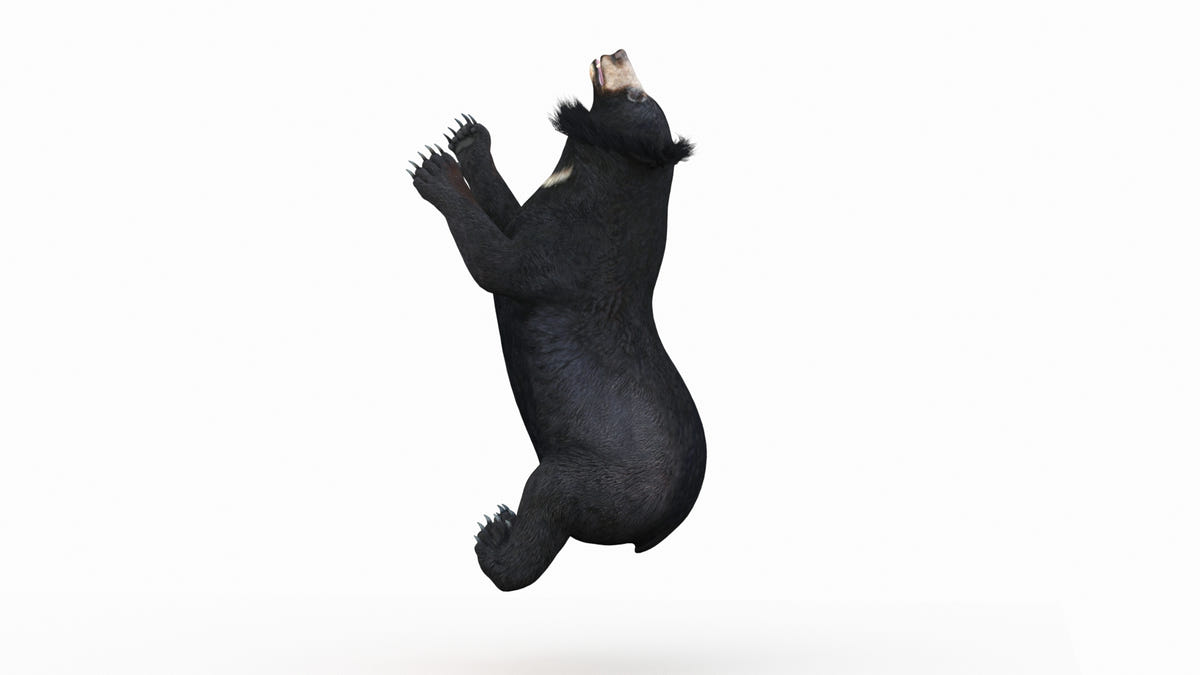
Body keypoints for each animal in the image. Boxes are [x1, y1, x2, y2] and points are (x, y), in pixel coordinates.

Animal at [409, 49, 705, 591]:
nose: (617, 52)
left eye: (638, 97)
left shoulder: (571, 251)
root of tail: (658, 528)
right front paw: (466, 135)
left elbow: (498, 265)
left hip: (588, 475)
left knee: (546, 510)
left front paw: (436, 169)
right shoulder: (540, 217)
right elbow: (509, 215)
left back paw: (495, 536)